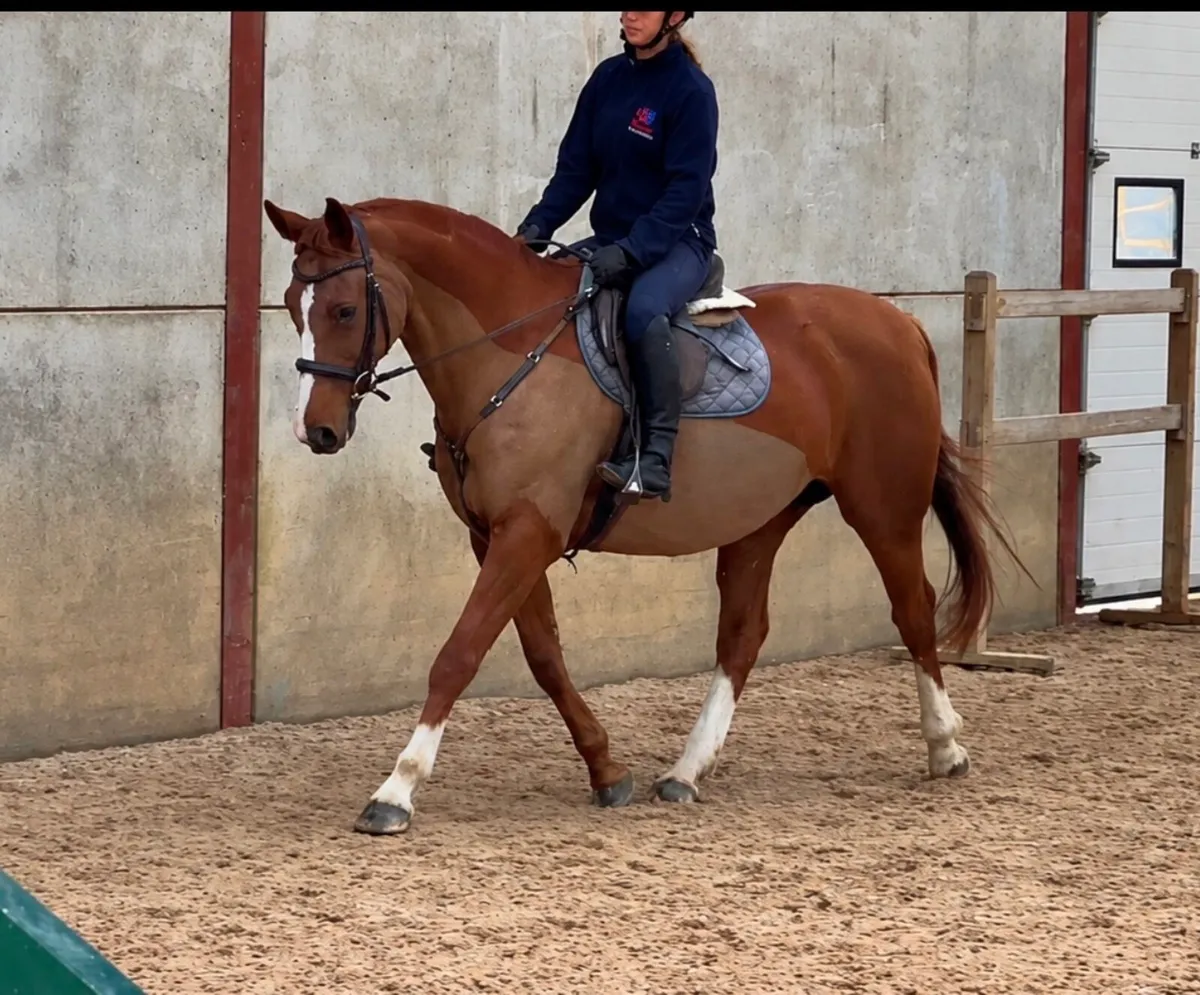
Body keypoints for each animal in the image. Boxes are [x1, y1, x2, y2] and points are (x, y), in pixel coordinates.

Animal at [262, 194, 1027, 836]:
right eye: (293, 305)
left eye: (343, 311)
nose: (316, 431)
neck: (510, 358)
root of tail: (898, 320)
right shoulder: (497, 537)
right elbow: (543, 657)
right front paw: (607, 769)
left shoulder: (527, 533)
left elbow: (459, 654)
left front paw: (396, 789)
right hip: (760, 521)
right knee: (743, 635)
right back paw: (686, 772)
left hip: (883, 507)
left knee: (913, 608)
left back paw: (944, 745)